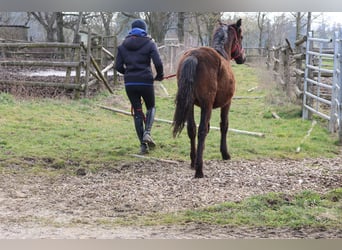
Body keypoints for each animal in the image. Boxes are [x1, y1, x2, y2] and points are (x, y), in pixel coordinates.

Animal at [172, 19, 244, 178]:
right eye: (241, 37)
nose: (243, 58)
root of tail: (194, 55)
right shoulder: (227, 103)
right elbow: (224, 125)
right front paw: (225, 154)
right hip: (207, 105)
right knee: (201, 130)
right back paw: (199, 169)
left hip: (190, 104)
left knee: (192, 129)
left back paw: (193, 162)